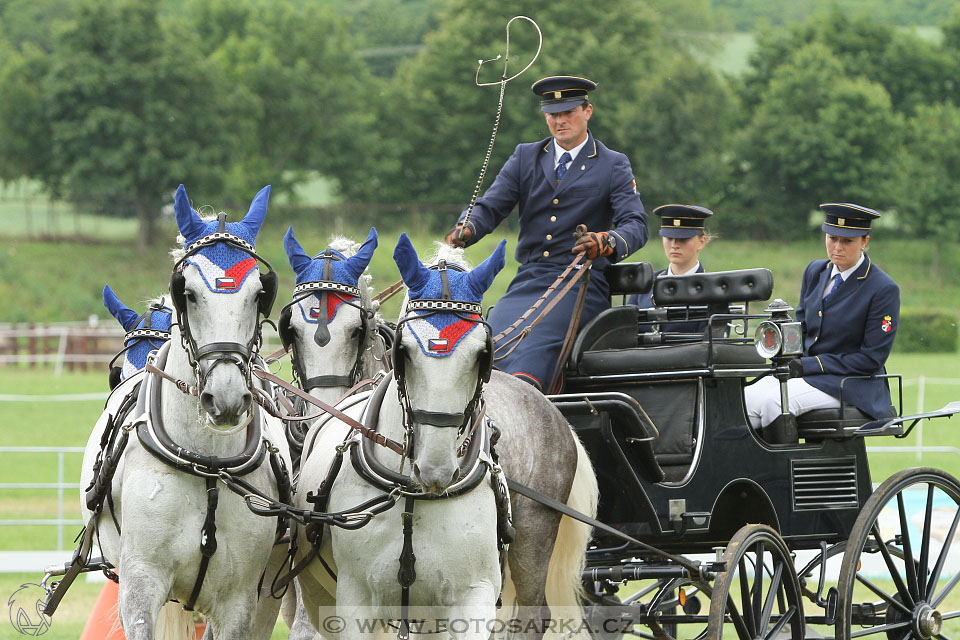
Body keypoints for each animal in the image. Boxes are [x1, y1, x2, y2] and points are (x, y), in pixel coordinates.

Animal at [79, 184, 290, 636]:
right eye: (188, 293)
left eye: (258, 295)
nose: (225, 399)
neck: (206, 462)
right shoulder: (141, 585)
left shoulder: (238, 600)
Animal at [292, 236, 600, 640]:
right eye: (403, 351)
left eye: (482, 353)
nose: (435, 467)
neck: (413, 493)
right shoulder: (353, 601)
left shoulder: (473, 597)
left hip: (534, 540)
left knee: (532, 615)